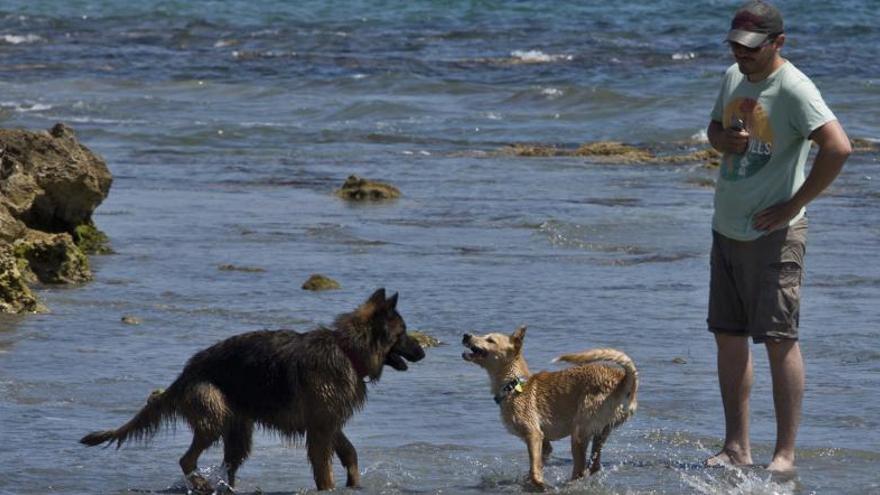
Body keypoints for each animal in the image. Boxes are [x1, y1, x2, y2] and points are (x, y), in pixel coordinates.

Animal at [81, 288, 424, 494]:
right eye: (404, 334)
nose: (422, 353)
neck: (347, 350)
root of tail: (187, 372)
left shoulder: (328, 424)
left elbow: (350, 452)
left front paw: (354, 483)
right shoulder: (320, 429)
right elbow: (323, 468)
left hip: (238, 433)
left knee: (227, 465)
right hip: (214, 417)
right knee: (186, 460)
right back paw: (201, 483)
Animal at [460, 326, 640, 488]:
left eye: (490, 340)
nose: (466, 335)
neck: (513, 385)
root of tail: (623, 380)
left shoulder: (533, 434)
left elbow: (534, 471)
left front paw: (540, 485)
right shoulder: (545, 444)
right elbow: (536, 466)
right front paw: (529, 482)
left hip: (579, 431)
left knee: (580, 470)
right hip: (602, 431)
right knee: (593, 466)